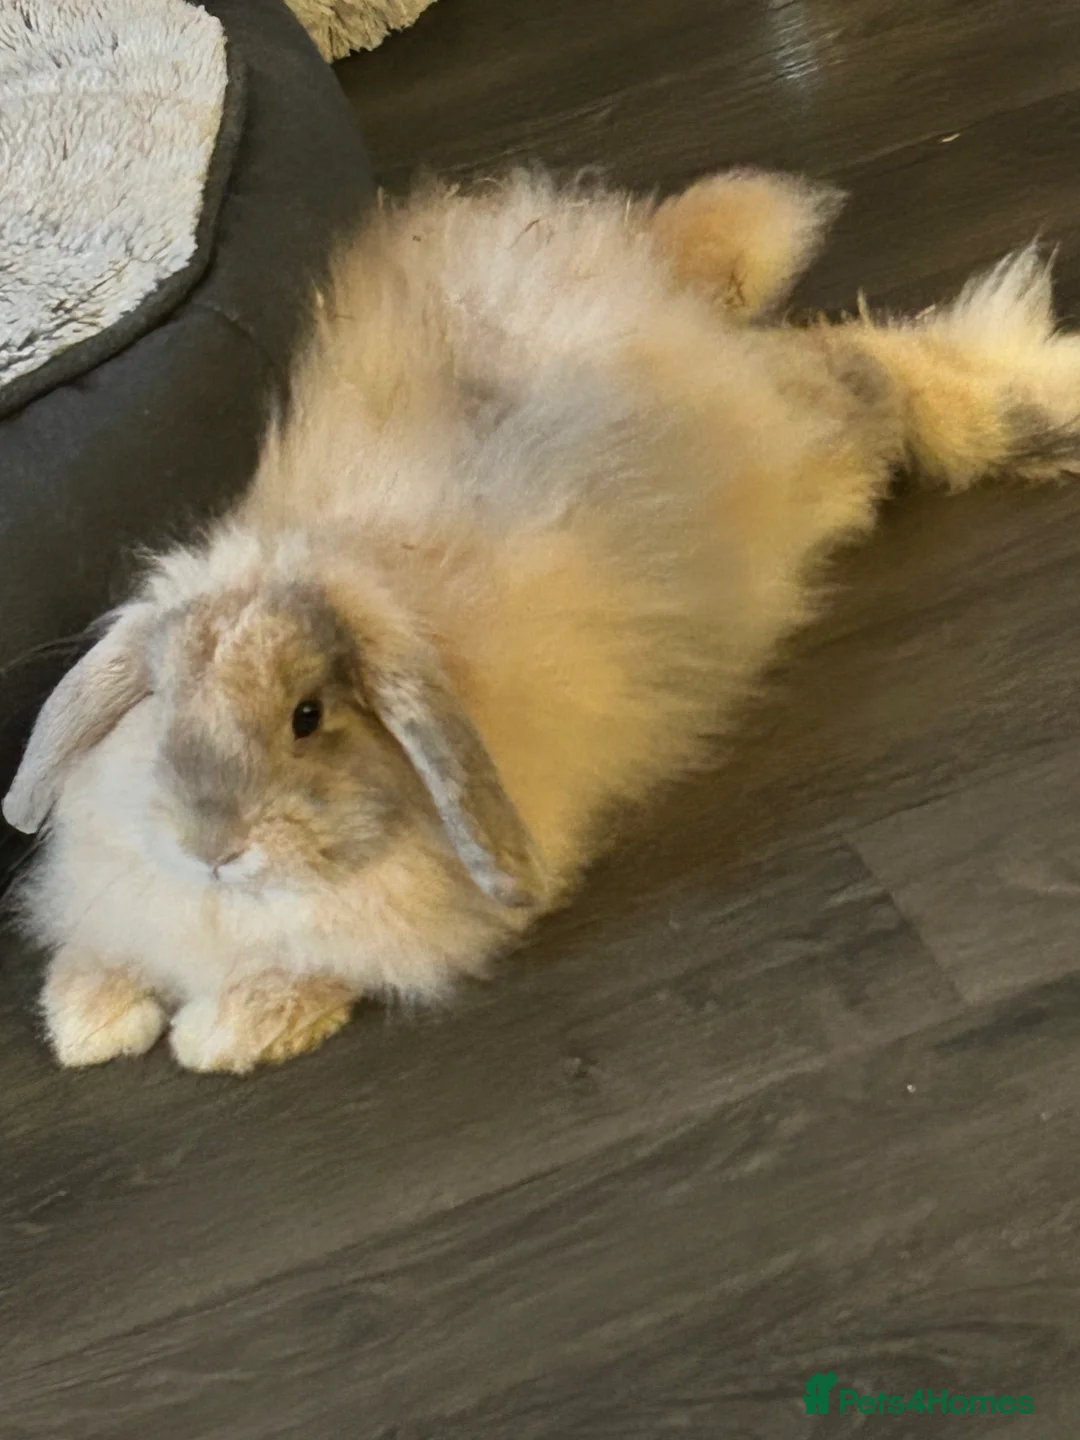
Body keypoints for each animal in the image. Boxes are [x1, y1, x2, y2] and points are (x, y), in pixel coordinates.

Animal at [6, 167, 1080, 1074]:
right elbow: (100, 956)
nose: (213, 847)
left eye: (308, 717)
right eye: (160, 707)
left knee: (875, 364)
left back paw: (1034, 401)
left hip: (830, 420)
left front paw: (209, 1034)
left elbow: (288, 986)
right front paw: (89, 1024)